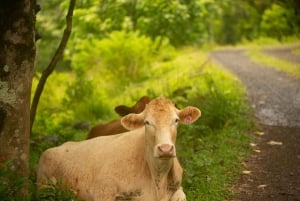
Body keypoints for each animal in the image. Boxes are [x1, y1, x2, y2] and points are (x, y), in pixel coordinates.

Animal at [37, 96, 202, 200]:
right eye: (147, 122)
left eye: (176, 120)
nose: (165, 148)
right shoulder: (102, 191)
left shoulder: (178, 188)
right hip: (44, 183)